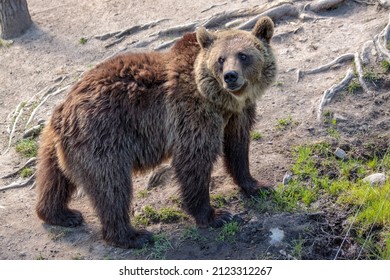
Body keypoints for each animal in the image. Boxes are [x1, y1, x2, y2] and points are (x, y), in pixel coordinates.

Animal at [34, 17, 278, 249]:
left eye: (243, 55)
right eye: (220, 59)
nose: (230, 76)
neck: (222, 101)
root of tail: (64, 110)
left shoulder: (238, 115)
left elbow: (238, 147)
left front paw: (257, 185)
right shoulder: (191, 114)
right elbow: (195, 159)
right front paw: (215, 215)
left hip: (54, 144)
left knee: (54, 177)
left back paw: (60, 214)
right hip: (102, 139)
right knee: (111, 186)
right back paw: (132, 235)